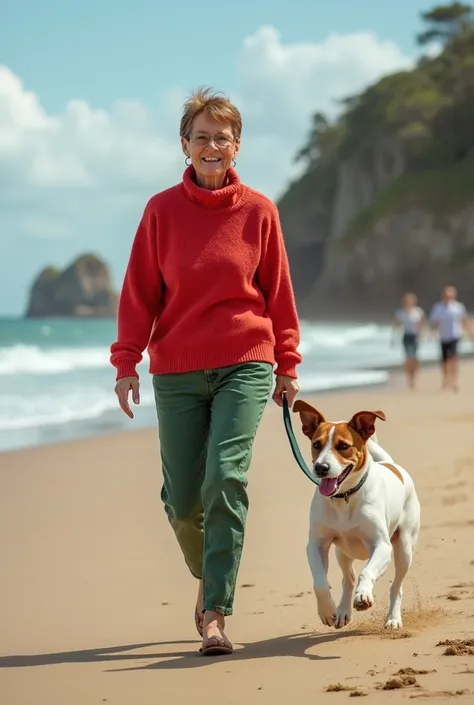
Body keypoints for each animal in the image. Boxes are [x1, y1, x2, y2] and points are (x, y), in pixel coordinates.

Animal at [292, 398, 422, 628]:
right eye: (316, 444)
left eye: (343, 446)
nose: (320, 468)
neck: (344, 497)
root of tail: (391, 465)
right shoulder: (317, 544)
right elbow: (320, 582)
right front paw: (327, 610)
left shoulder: (382, 545)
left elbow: (366, 572)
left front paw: (363, 596)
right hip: (342, 551)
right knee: (348, 578)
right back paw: (343, 611)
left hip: (405, 547)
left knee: (396, 586)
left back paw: (393, 618)